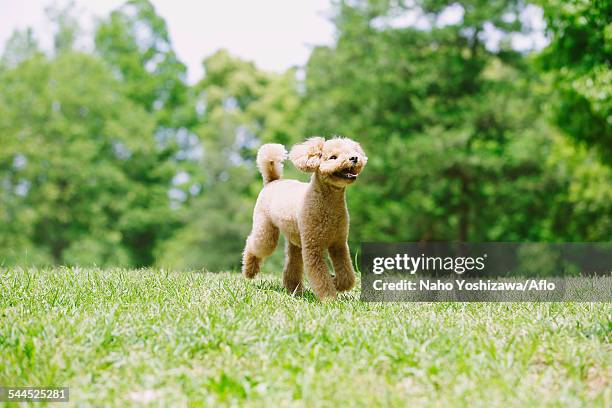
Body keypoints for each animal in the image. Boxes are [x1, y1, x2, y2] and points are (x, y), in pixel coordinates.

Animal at [240, 137, 366, 300]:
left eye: (352, 152)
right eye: (333, 157)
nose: (354, 158)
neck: (328, 203)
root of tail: (273, 182)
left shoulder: (339, 244)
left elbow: (347, 276)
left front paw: (336, 282)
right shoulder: (313, 247)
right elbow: (320, 277)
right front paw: (329, 299)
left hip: (295, 240)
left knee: (292, 265)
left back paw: (294, 290)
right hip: (266, 231)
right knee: (253, 244)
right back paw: (249, 271)